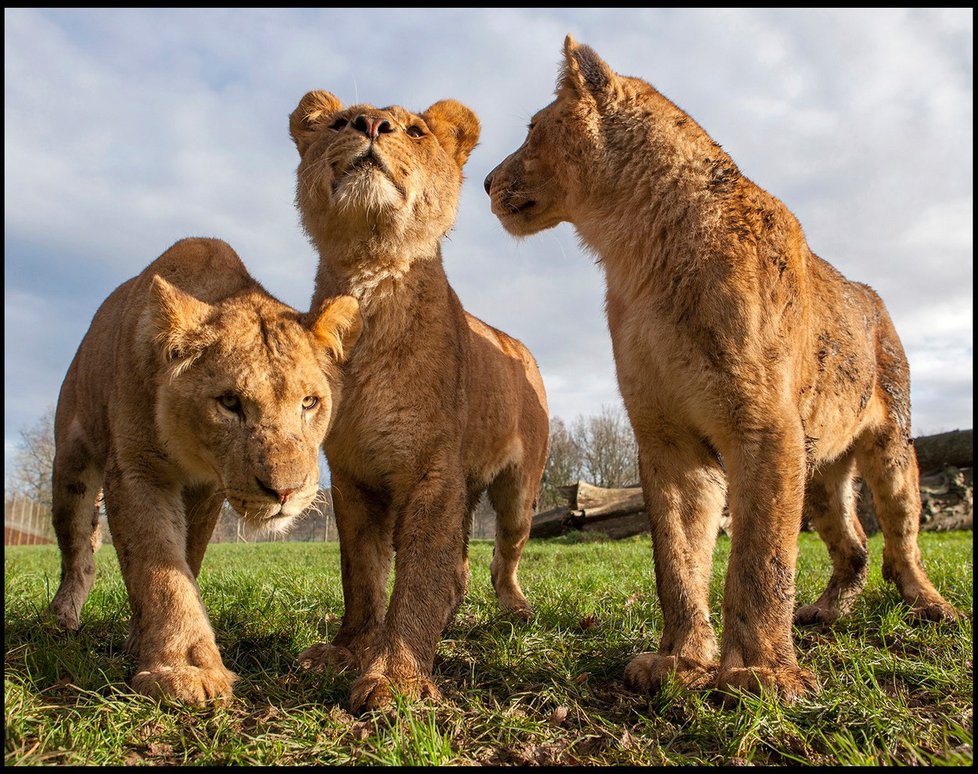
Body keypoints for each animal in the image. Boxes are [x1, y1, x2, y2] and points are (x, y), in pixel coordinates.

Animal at [47, 239, 360, 708]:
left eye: (309, 402)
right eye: (229, 402)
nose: (285, 492)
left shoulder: (208, 489)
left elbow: (185, 561)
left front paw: (147, 641)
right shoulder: (136, 469)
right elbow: (158, 566)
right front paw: (185, 670)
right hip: (71, 462)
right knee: (77, 549)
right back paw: (61, 617)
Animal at [288, 88, 548, 712]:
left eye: (414, 130)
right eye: (339, 122)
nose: (370, 124)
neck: (371, 278)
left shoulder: (432, 470)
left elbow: (418, 577)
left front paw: (396, 678)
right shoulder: (353, 478)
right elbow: (361, 575)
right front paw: (349, 648)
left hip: (518, 491)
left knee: (503, 555)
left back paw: (515, 610)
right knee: (459, 569)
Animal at [484, 34, 956, 704]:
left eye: (531, 128)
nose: (486, 182)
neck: (638, 255)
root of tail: (872, 296)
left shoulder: (764, 429)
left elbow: (760, 561)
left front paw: (761, 675)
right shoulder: (667, 437)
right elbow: (678, 561)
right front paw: (679, 661)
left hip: (889, 444)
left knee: (901, 538)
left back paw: (931, 606)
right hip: (819, 469)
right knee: (855, 546)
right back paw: (823, 613)